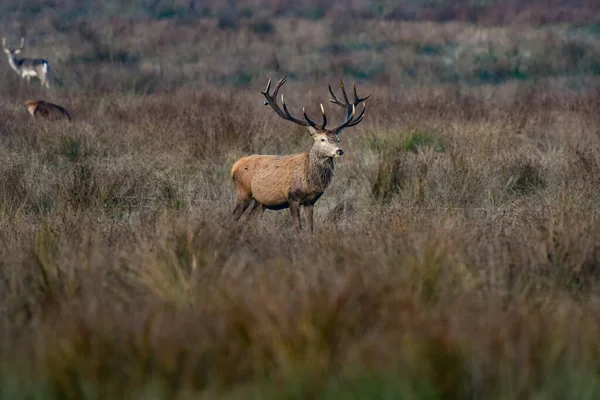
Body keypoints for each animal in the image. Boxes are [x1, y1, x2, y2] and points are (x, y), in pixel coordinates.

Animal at [231, 76, 368, 231]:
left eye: (338, 139)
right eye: (323, 139)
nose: (339, 151)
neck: (309, 179)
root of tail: (234, 167)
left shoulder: (310, 202)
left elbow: (311, 229)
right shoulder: (293, 197)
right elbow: (298, 228)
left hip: (261, 202)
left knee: (249, 222)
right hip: (244, 192)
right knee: (233, 218)